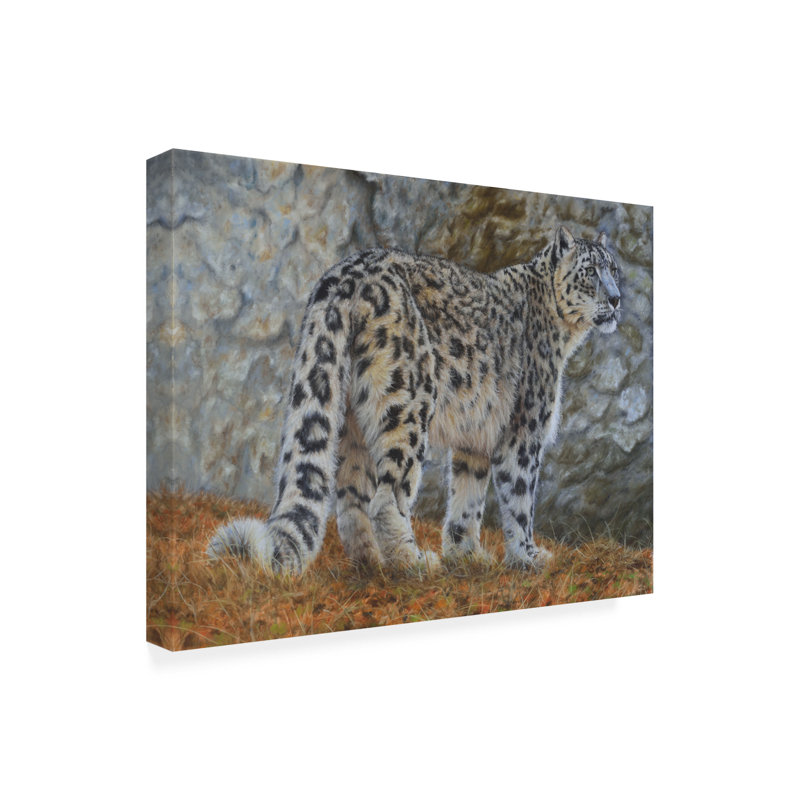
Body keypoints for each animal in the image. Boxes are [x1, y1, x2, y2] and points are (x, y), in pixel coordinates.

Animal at [207, 226, 621, 574]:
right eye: (590, 272)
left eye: (614, 268)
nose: (617, 299)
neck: (565, 336)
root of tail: (345, 274)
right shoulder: (524, 428)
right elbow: (520, 498)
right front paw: (528, 558)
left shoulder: (476, 436)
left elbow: (468, 496)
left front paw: (467, 554)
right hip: (408, 400)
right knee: (388, 496)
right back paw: (412, 561)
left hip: (354, 417)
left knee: (352, 498)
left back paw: (373, 562)